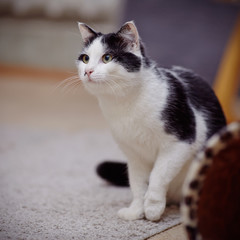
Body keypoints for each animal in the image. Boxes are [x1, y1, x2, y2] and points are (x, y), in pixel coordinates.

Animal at [77, 21, 227, 221]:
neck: (125, 104)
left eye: (107, 57)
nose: (87, 71)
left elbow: (158, 174)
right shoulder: (134, 155)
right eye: (85, 58)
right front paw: (136, 211)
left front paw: (153, 208)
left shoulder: (181, 142)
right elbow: (137, 184)